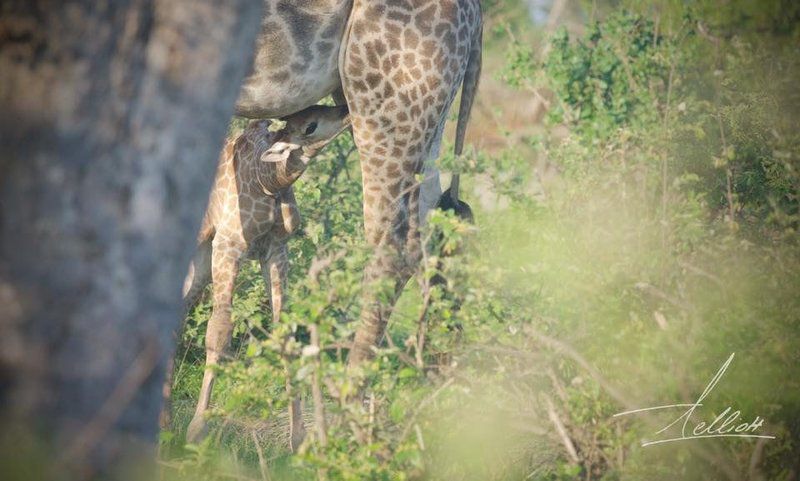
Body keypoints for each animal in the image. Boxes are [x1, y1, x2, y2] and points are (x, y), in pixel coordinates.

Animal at [186, 104, 352, 442]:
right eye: (310, 125)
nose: (345, 110)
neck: (269, 183)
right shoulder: (229, 246)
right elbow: (219, 332)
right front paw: (196, 429)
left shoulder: (276, 250)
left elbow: (284, 334)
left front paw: (298, 436)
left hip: (203, 259)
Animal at [233, 0, 482, 364]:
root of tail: (476, 13)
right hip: (424, 116)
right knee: (429, 227)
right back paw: (428, 366)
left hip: (386, 104)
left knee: (393, 244)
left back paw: (353, 375)